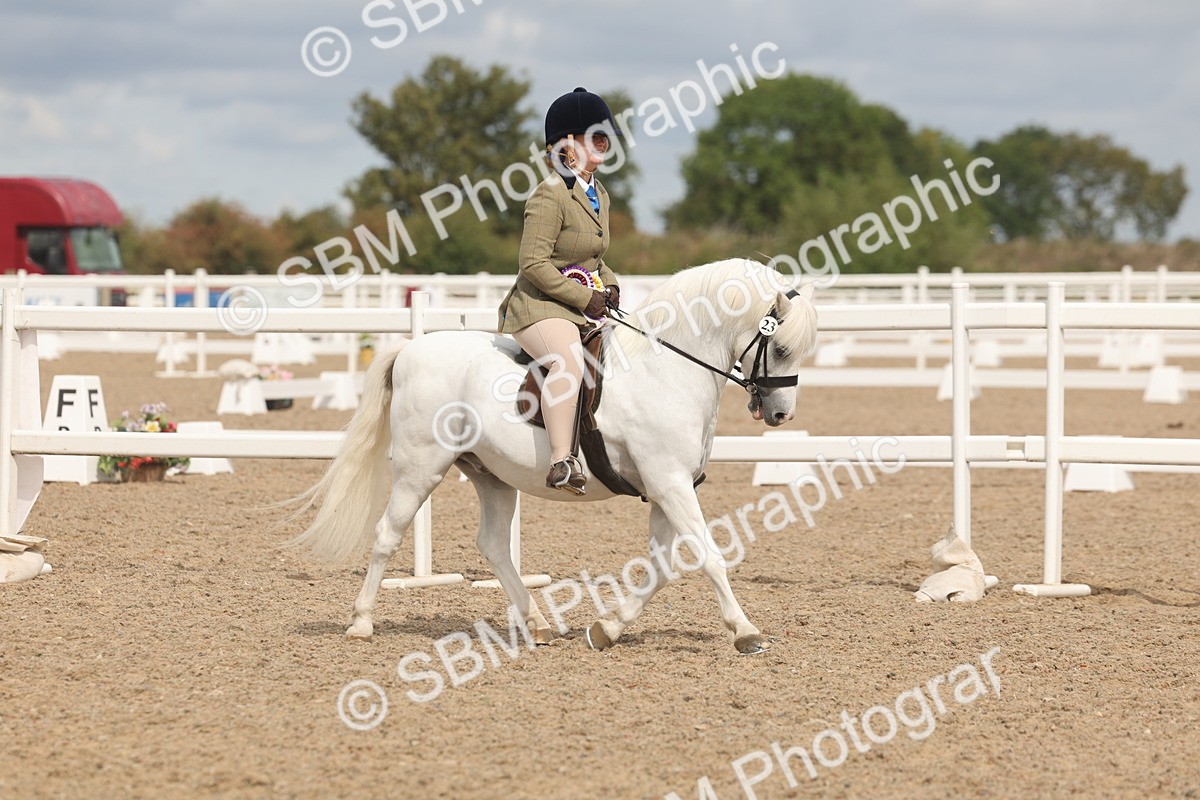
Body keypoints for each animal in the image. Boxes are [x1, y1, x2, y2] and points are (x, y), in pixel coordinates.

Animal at [289, 258, 818, 654]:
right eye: (781, 347)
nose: (781, 414)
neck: (665, 368)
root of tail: (410, 350)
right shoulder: (668, 483)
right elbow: (709, 557)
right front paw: (746, 632)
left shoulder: (670, 486)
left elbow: (662, 568)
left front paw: (606, 629)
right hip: (420, 468)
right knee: (387, 535)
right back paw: (361, 623)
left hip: (490, 475)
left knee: (493, 544)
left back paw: (536, 623)